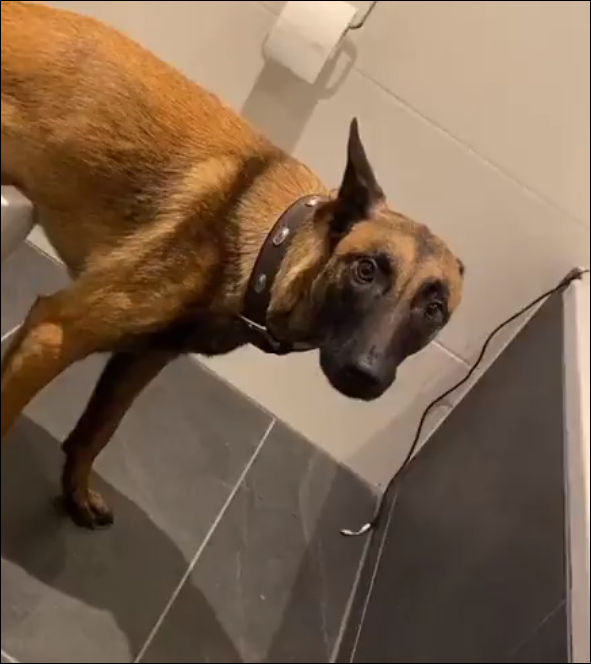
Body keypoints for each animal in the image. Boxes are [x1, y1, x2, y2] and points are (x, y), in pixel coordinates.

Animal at [1, 1, 464, 528]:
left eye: (434, 310)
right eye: (366, 270)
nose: (366, 374)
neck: (271, 241)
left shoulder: (143, 359)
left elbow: (96, 432)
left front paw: (76, 492)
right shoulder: (54, 332)